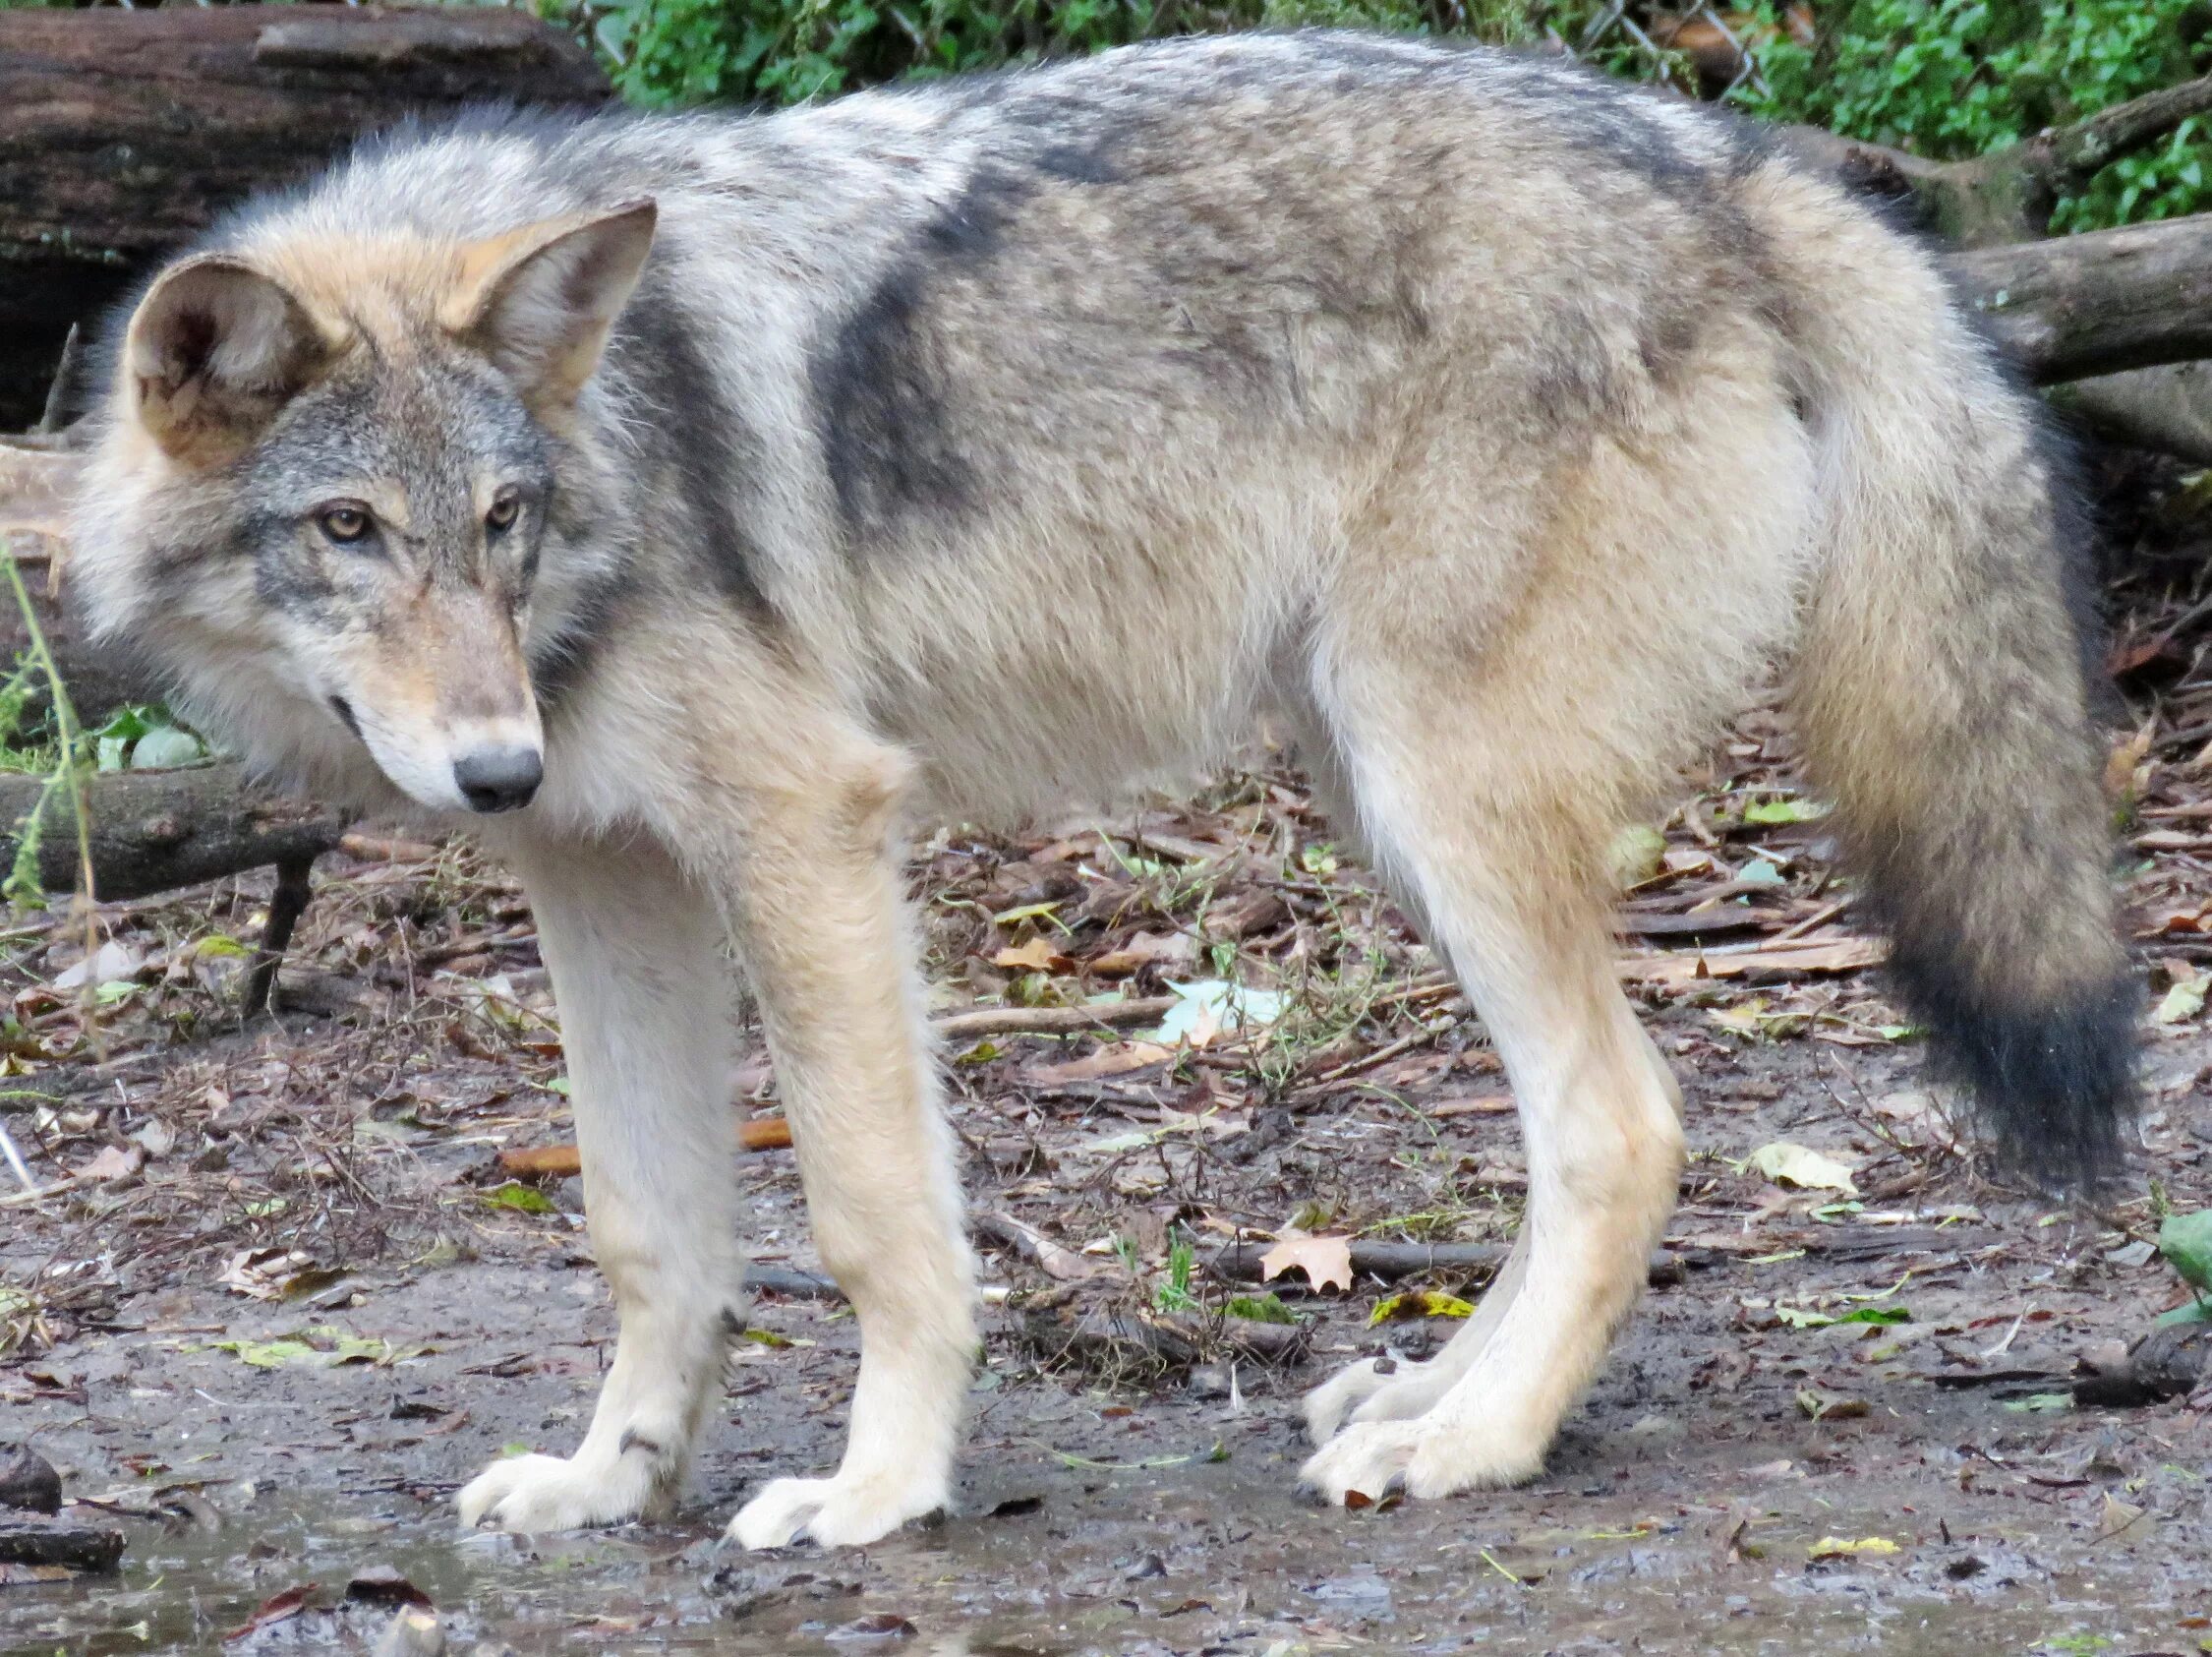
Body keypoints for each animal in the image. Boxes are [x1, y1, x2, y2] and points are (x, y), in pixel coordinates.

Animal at [78, 31, 2132, 1548]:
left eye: (500, 523)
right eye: (351, 530)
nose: (492, 761)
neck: (615, 453)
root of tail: (1724, 156)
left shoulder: (810, 828)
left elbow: (871, 1217)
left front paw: (878, 1491)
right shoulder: (604, 880)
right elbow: (649, 1230)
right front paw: (608, 1485)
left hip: (1437, 800)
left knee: (1623, 1128)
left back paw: (1471, 1450)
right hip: (1384, 804)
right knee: (1575, 1146)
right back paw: (1436, 1392)